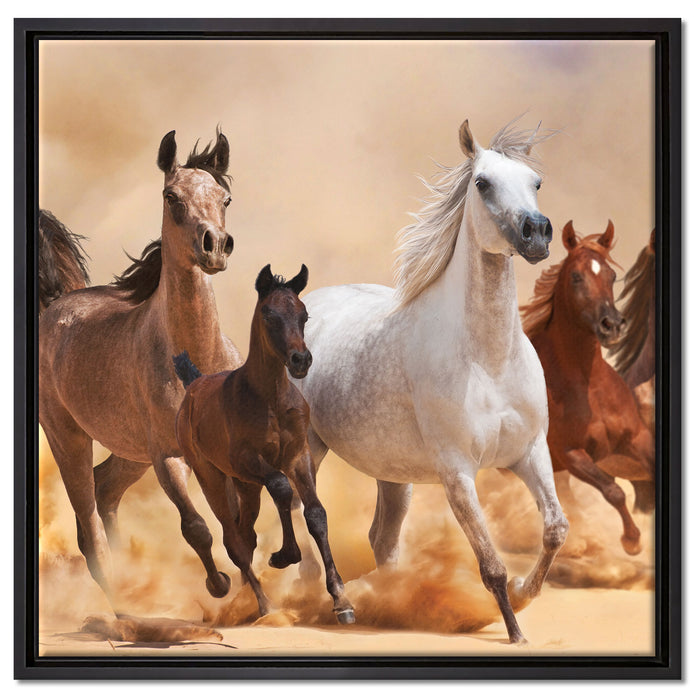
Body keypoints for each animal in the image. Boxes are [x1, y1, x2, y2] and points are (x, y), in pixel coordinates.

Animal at [39, 129, 243, 609]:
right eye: (172, 197)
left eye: (225, 198)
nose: (214, 246)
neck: (195, 360)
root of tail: (56, 305)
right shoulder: (168, 456)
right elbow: (197, 528)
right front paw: (219, 585)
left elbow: (237, 526)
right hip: (68, 438)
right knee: (89, 519)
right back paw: (121, 605)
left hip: (130, 452)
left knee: (106, 489)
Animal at [173, 265, 355, 624]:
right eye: (269, 313)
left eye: (304, 314)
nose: (301, 360)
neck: (269, 398)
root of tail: (194, 384)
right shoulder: (249, 460)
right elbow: (282, 488)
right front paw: (284, 556)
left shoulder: (299, 456)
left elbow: (316, 514)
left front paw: (342, 600)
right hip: (213, 477)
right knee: (233, 540)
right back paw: (264, 605)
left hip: (246, 487)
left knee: (246, 534)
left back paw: (247, 597)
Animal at [296, 117, 568, 644]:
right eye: (482, 183)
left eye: (536, 183)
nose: (537, 233)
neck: (488, 361)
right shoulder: (457, 471)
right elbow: (491, 564)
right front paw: (514, 631)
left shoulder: (530, 452)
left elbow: (554, 529)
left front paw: (526, 594)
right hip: (308, 451)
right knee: (305, 520)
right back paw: (328, 602)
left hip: (392, 473)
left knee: (382, 539)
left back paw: (386, 603)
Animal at [520, 220, 655, 555]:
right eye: (576, 276)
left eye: (611, 275)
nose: (612, 325)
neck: (588, 386)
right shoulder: (572, 454)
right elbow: (613, 490)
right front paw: (632, 540)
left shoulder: (638, 438)